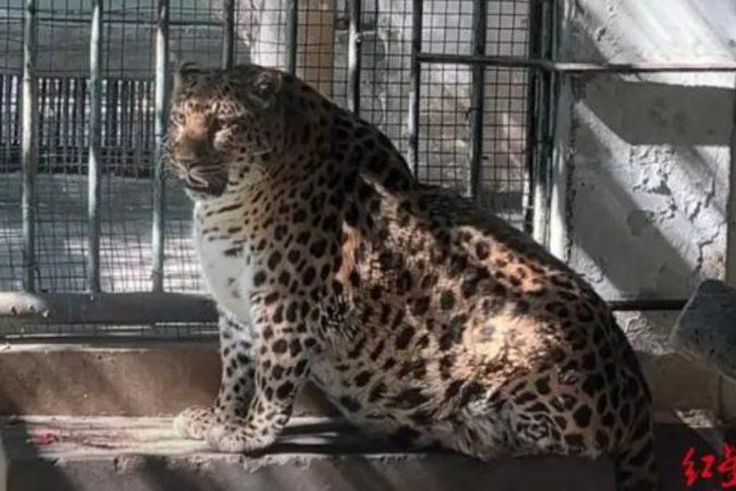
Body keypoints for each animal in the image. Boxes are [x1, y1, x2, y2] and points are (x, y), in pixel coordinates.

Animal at [166, 61, 658, 491]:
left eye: (223, 124)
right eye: (179, 119)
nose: (185, 160)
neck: (225, 207)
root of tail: (639, 399)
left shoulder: (284, 307)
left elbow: (271, 378)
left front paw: (248, 434)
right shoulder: (234, 306)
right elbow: (234, 369)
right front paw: (218, 417)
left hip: (519, 335)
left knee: (558, 446)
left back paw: (447, 425)